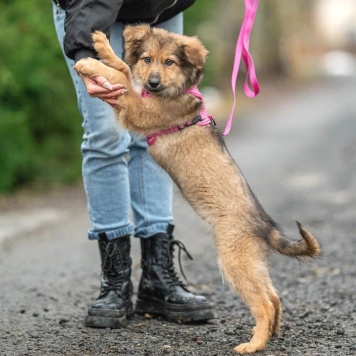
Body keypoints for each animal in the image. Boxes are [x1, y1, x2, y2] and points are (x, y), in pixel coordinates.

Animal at [74, 25, 320, 354]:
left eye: (169, 62)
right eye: (148, 59)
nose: (153, 82)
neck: (174, 90)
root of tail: (266, 227)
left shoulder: (138, 109)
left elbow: (123, 79)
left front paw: (89, 64)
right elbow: (125, 68)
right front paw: (102, 47)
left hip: (234, 261)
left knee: (264, 304)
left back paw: (253, 344)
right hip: (254, 264)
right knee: (274, 296)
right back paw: (270, 334)